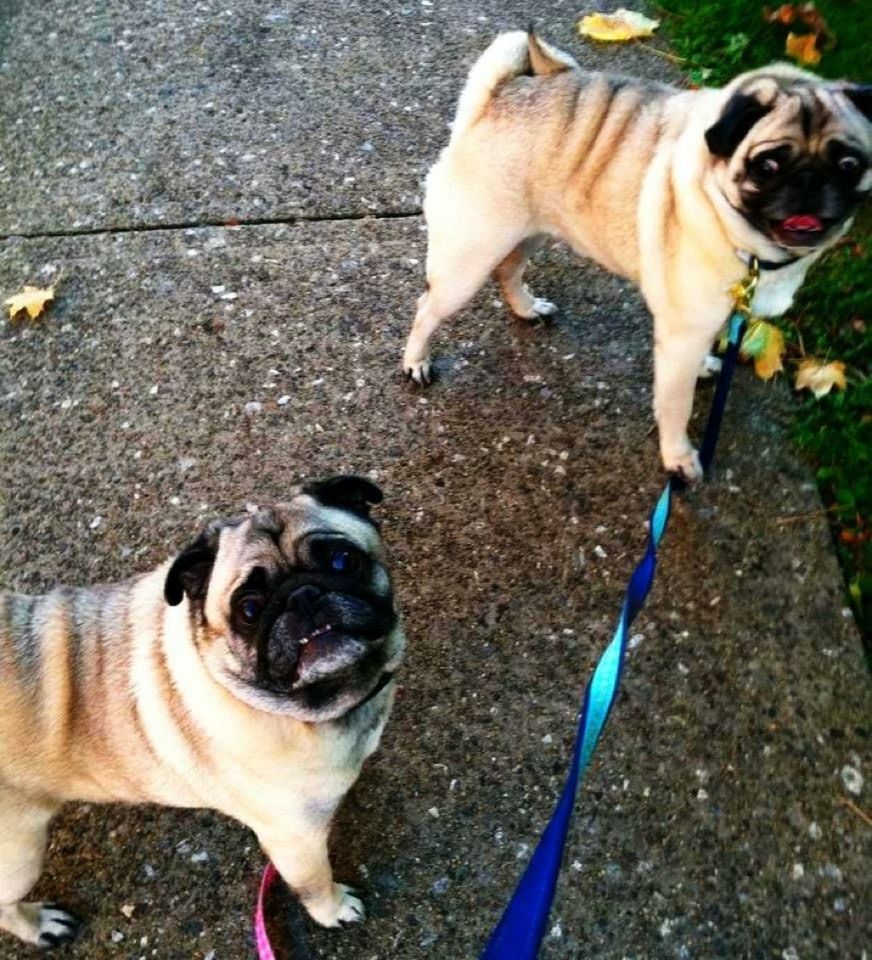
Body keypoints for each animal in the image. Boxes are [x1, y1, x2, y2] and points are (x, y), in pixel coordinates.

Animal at [0, 476, 402, 948]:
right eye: (249, 609)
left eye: (343, 561)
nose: (304, 596)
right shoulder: (295, 841)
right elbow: (315, 884)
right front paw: (334, 909)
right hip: (18, 855)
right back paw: (40, 925)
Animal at [404, 31, 872, 480]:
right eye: (767, 167)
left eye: (850, 165)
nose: (809, 182)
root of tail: (502, 93)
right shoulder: (682, 338)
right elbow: (676, 406)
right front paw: (678, 457)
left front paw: (706, 366)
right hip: (469, 260)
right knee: (427, 306)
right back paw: (416, 361)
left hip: (531, 231)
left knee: (509, 271)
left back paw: (526, 307)